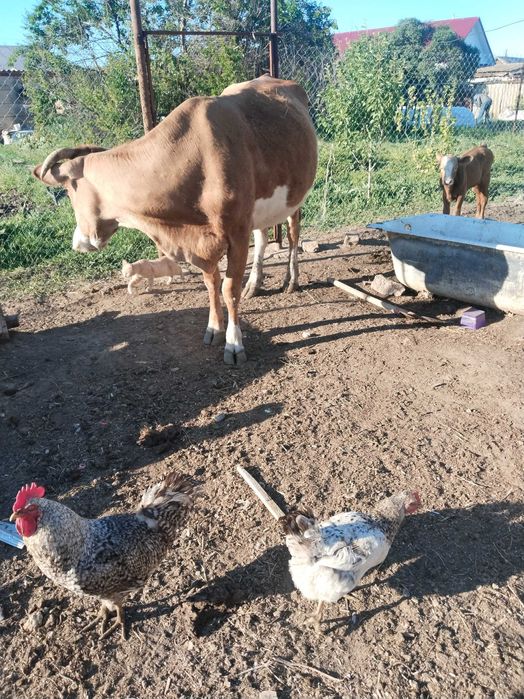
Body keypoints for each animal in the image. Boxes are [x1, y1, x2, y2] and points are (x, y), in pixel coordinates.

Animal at [33, 76, 318, 365]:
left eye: (69, 192)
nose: (77, 242)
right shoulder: (205, 240)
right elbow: (211, 283)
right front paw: (214, 328)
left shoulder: (237, 232)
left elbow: (229, 289)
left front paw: (234, 343)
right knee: (261, 238)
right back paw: (255, 284)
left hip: (295, 196)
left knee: (293, 233)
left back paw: (291, 280)